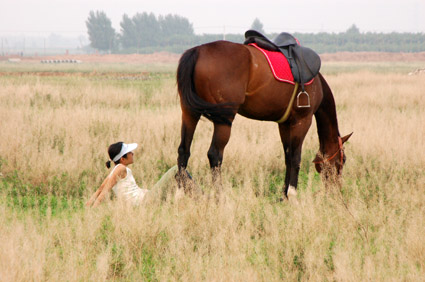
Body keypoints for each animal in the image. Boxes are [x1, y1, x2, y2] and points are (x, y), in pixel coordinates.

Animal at [175, 39, 352, 198]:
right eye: (343, 160)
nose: (336, 190)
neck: (316, 83)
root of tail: (198, 51)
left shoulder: (284, 124)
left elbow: (288, 157)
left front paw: (284, 195)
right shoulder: (302, 121)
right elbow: (296, 157)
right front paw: (292, 194)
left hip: (189, 113)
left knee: (184, 150)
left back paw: (180, 193)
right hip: (223, 120)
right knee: (214, 154)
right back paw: (220, 196)